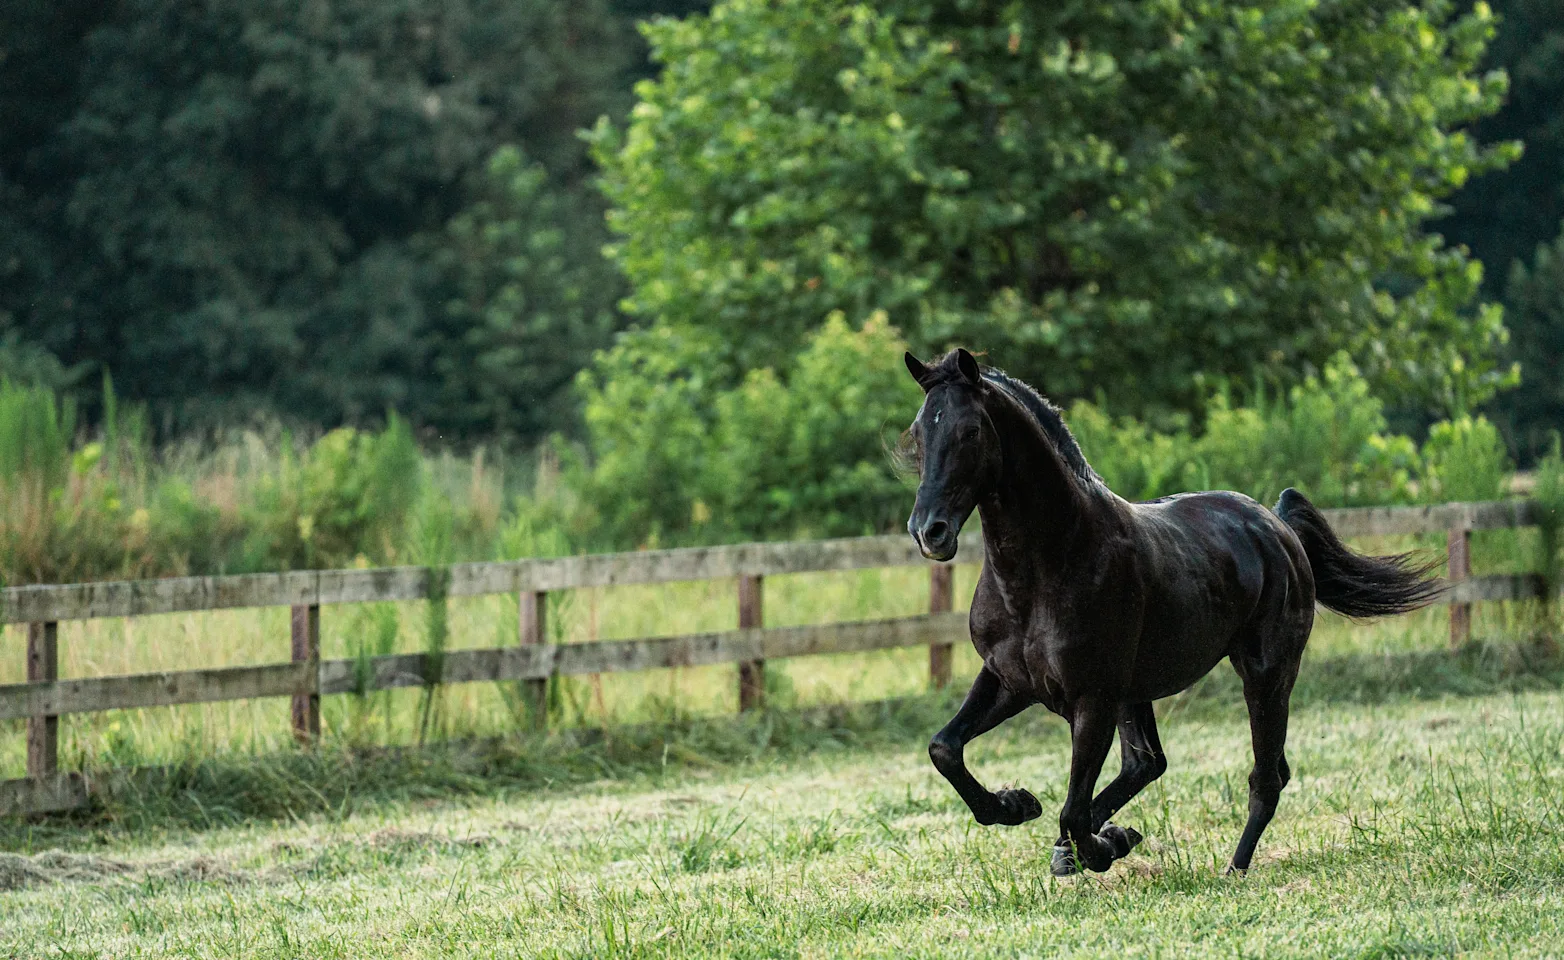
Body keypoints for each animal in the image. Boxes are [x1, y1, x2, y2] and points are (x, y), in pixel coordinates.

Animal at [901, 348, 1442, 876]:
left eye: (970, 431)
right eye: (919, 433)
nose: (929, 532)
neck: (1049, 564)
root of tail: (1277, 526)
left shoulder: (1092, 698)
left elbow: (1072, 809)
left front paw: (1095, 848)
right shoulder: (1010, 680)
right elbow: (945, 748)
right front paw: (1017, 805)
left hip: (1267, 674)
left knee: (1264, 777)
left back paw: (1231, 870)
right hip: (1140, 691)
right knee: (1151, 763)